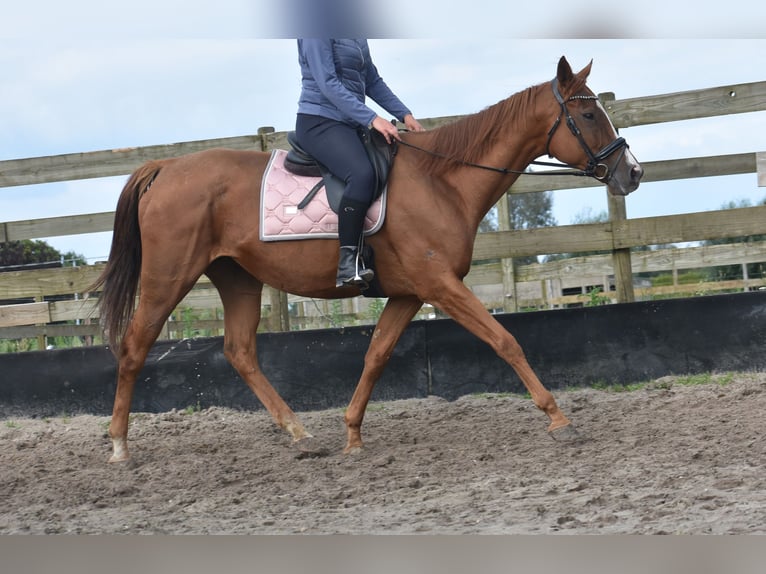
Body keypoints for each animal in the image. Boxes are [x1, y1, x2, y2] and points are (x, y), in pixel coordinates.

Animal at [91, 57, 640, 464]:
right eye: (589, 116)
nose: (631, 173)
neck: (442, 180)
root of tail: (165, 167)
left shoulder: (408, 293)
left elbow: (376, 356)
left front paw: (352, 435)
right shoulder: (441, 286)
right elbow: (506, 342)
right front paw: (559, 420)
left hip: (238, 278)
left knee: (240, 351)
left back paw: (299, 434)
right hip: (169, 276)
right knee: (135, 346)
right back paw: (119, 447)